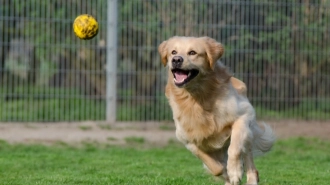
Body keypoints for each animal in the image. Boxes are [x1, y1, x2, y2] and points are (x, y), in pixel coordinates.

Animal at [159, 36, 274, 185]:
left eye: (192, 52)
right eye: (173, 52)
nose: (176, 60)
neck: (197, 98)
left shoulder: (243, 115)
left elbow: (234, 148)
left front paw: (235, 171)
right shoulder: (188, 140)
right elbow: (216, 167)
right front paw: (227, 173)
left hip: (248, 134)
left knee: (249, 160)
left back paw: (250, 178)